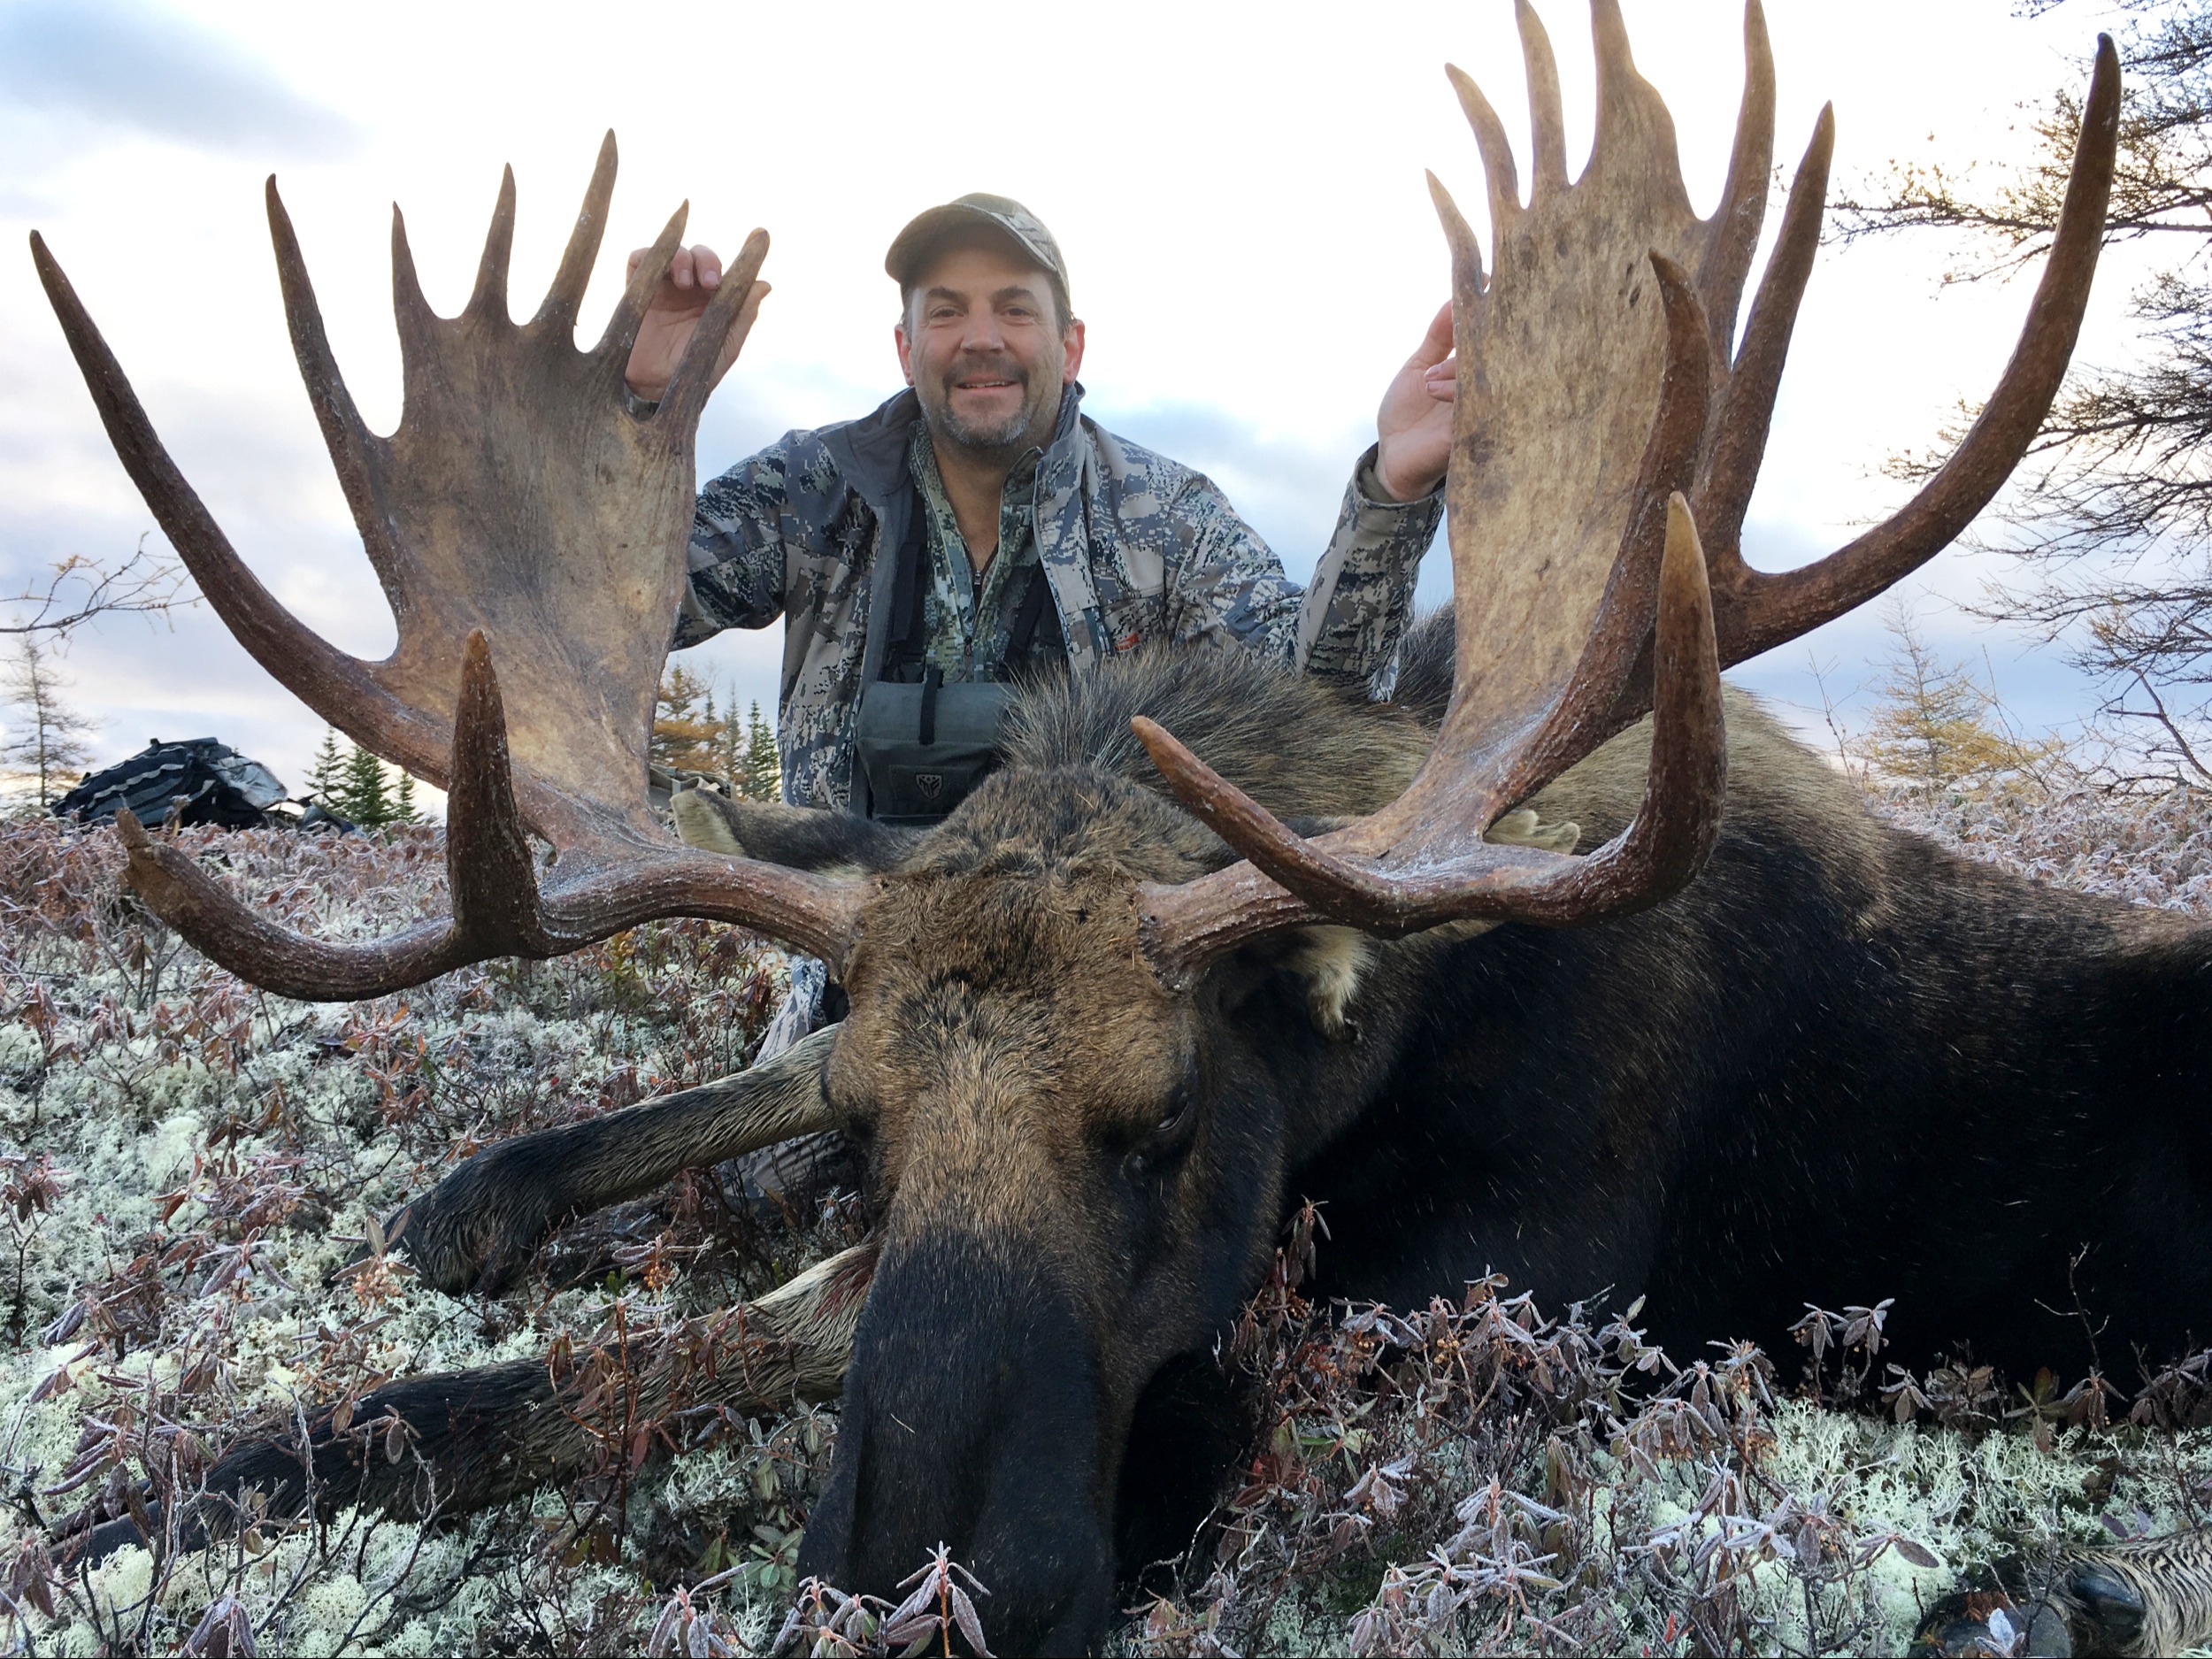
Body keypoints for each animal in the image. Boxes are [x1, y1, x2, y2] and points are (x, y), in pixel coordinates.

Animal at [36, 3, 2212, 1652]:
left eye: (1168, 1117)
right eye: (876, 1130)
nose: (910, 1591)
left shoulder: (1499, 1297)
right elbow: (598, 1352)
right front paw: (177, 1483)